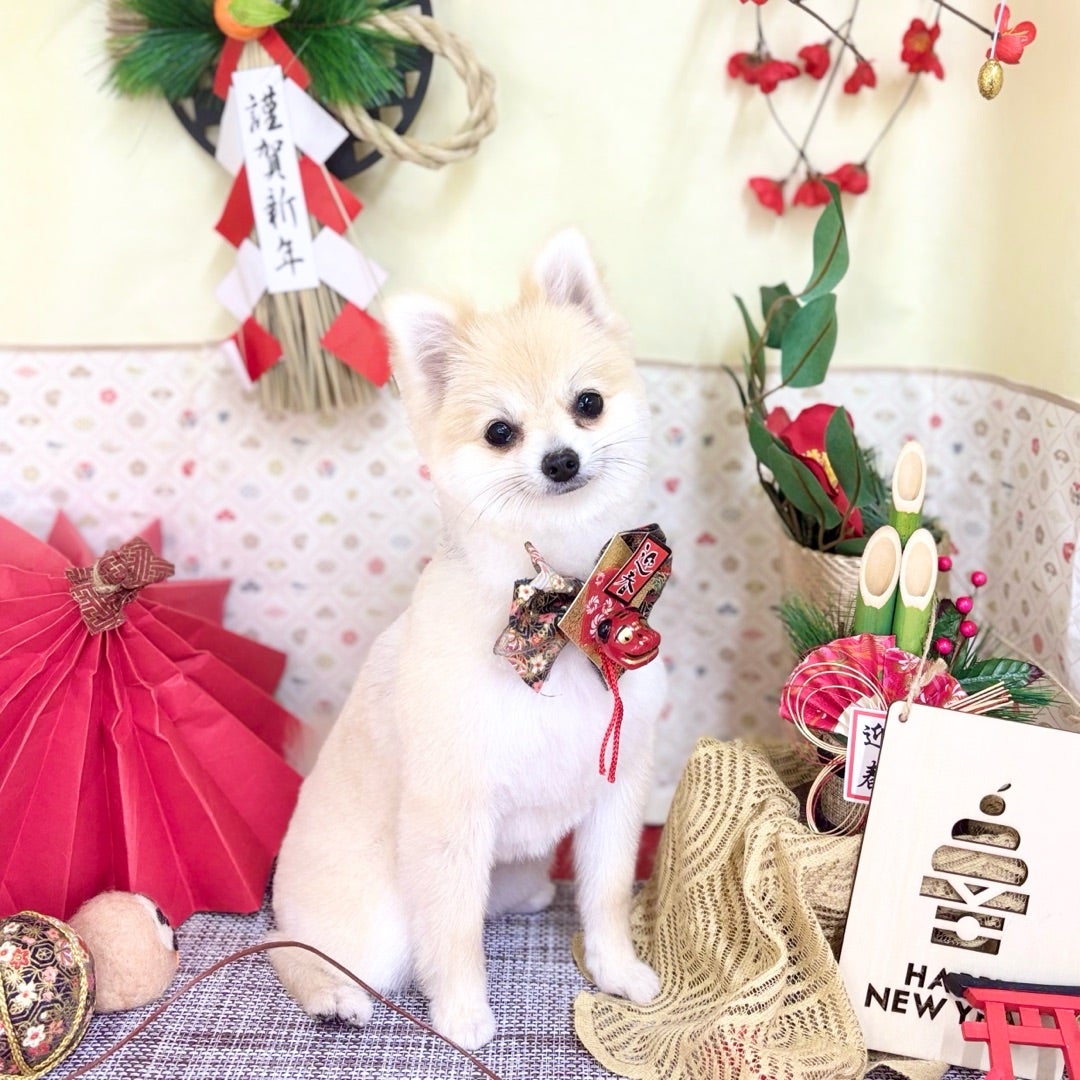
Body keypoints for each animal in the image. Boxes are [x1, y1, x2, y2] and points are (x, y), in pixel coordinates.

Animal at [269, 229, 667, 1051]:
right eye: (499, 433)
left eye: (587, 404)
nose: (560, 459)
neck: (563, 604)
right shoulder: (450, 815)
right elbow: (451, 932)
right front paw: (460, 1017)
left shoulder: (617, 794)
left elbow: (606, 896)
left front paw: (616, 972)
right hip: (366, 923)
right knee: (295, 948)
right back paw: (333, 996)